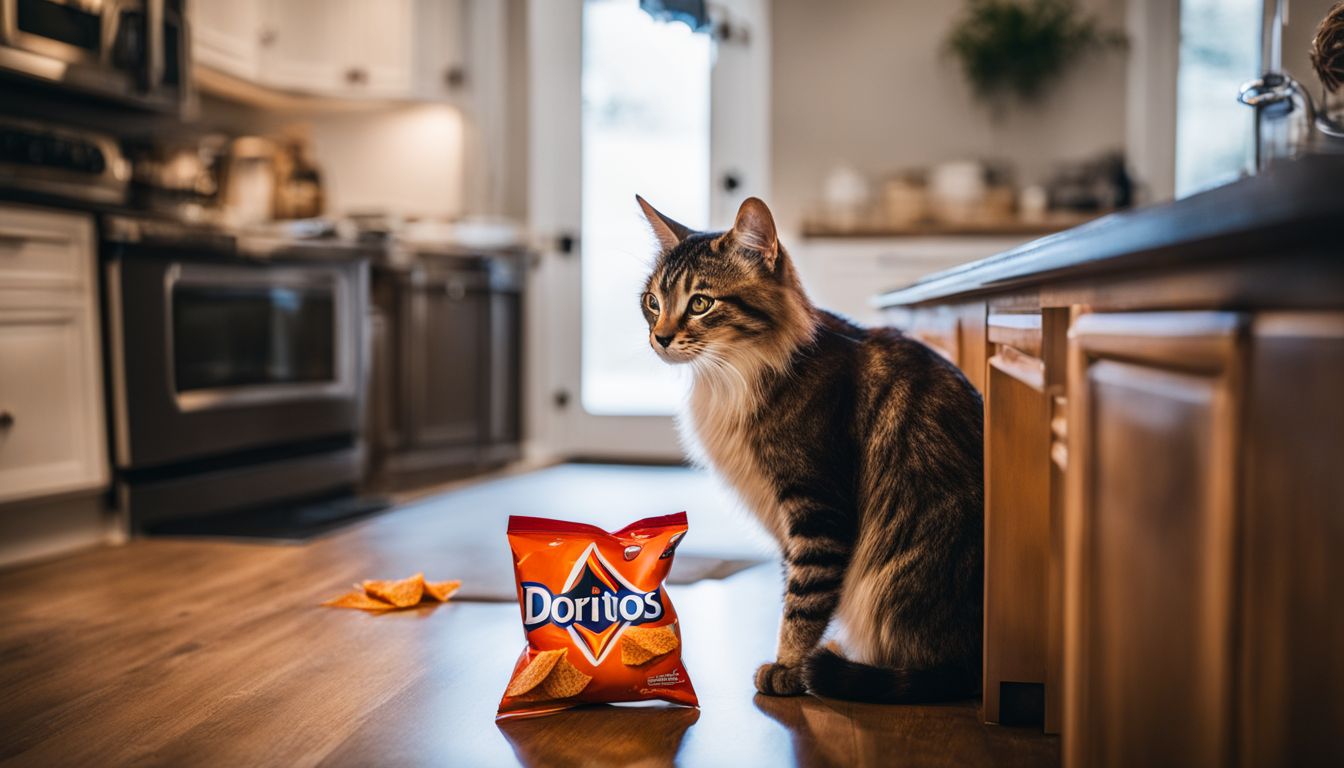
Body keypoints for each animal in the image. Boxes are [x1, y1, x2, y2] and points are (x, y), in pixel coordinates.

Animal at [634, 193, 983, 704]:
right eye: (652, 301)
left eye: (700, 303)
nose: (658, 338)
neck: (728, 378)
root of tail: (975, 660)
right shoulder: (787, 525)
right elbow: (792, 589)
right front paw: (792, 664)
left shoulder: (817, 509)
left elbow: (805, 601)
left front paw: (788, 667)